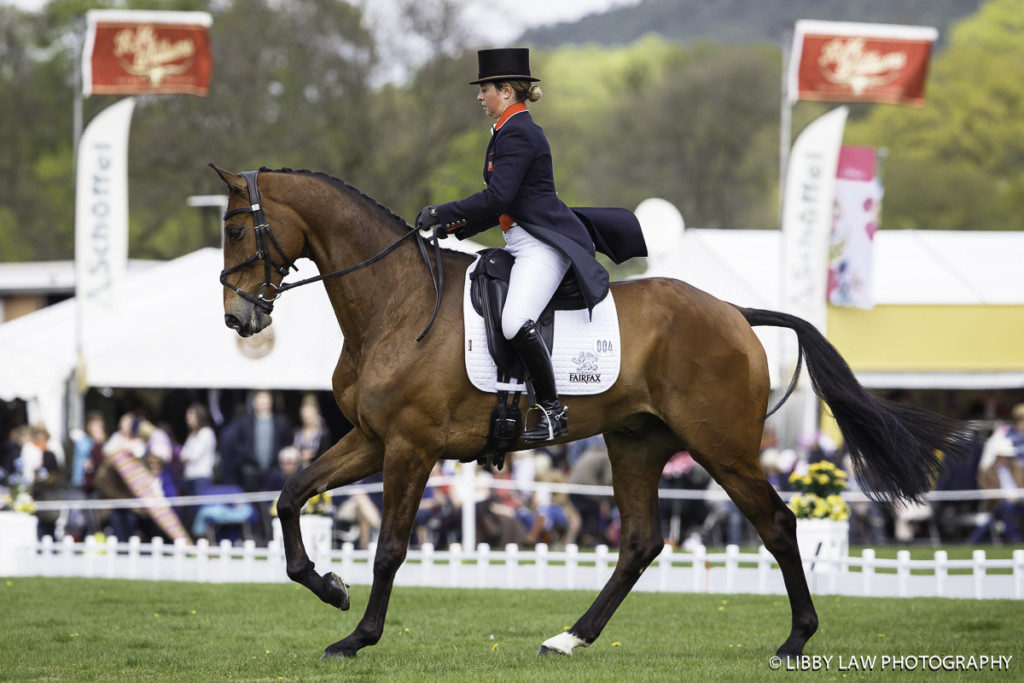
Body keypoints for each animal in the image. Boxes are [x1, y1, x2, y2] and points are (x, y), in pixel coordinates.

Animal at [209, 162, 966, 659]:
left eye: (236, 228)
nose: (238, 319)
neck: (395, 302)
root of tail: (733, 312)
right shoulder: (370, 438)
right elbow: (289, 494)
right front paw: (327, 587)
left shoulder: (410, 447)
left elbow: (391, 547)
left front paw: (357, 635)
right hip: (637, 442)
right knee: (641, 542)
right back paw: (571, 636)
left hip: (720, 446)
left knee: (777, 523)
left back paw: (794, 640)